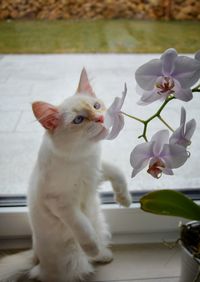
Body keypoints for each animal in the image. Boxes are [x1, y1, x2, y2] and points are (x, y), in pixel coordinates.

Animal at [0, 68, 131, 282]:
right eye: (78, 120)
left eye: (96, 106)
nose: (101, 118)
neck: (81, 156)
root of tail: (36, 257)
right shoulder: (60, 203)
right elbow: (82, 226)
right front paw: (92, 247)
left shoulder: (96, 170)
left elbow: (118, 173)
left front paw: (125, 200)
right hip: (69, 261)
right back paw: (96, 253)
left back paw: (104, 255)